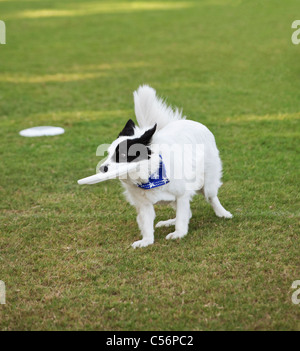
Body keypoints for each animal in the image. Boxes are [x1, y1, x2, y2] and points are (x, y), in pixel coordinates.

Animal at [98, 85, 232, 249]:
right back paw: (168, 222)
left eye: (123, 155)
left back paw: (222, 213)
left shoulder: (182, 195)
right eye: (109, 153)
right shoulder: (144, 205)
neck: (151, 174)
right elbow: (148, 224)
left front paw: (179, 234)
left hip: (207, 183)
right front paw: (146, 241)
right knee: (188, 213)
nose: (102, 169)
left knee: (211, 197)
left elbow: (182, 217)